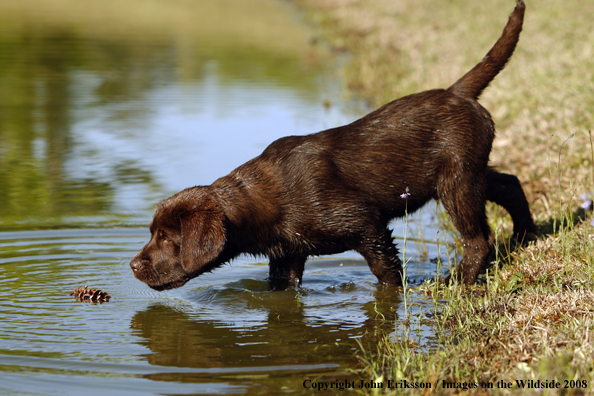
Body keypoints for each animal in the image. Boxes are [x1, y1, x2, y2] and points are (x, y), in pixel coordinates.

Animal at [130, 0, 532, 290]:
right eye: (154, 233)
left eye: (166, 237)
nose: (133, 265)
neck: (262, 204)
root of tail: (456, 92)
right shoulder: (287, 256)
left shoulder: (366, 226)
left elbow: (387, 274)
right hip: (466, 171)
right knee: (508, 184)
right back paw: (526, 235)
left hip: (456, 181)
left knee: (478, 239)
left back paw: (457, 283)